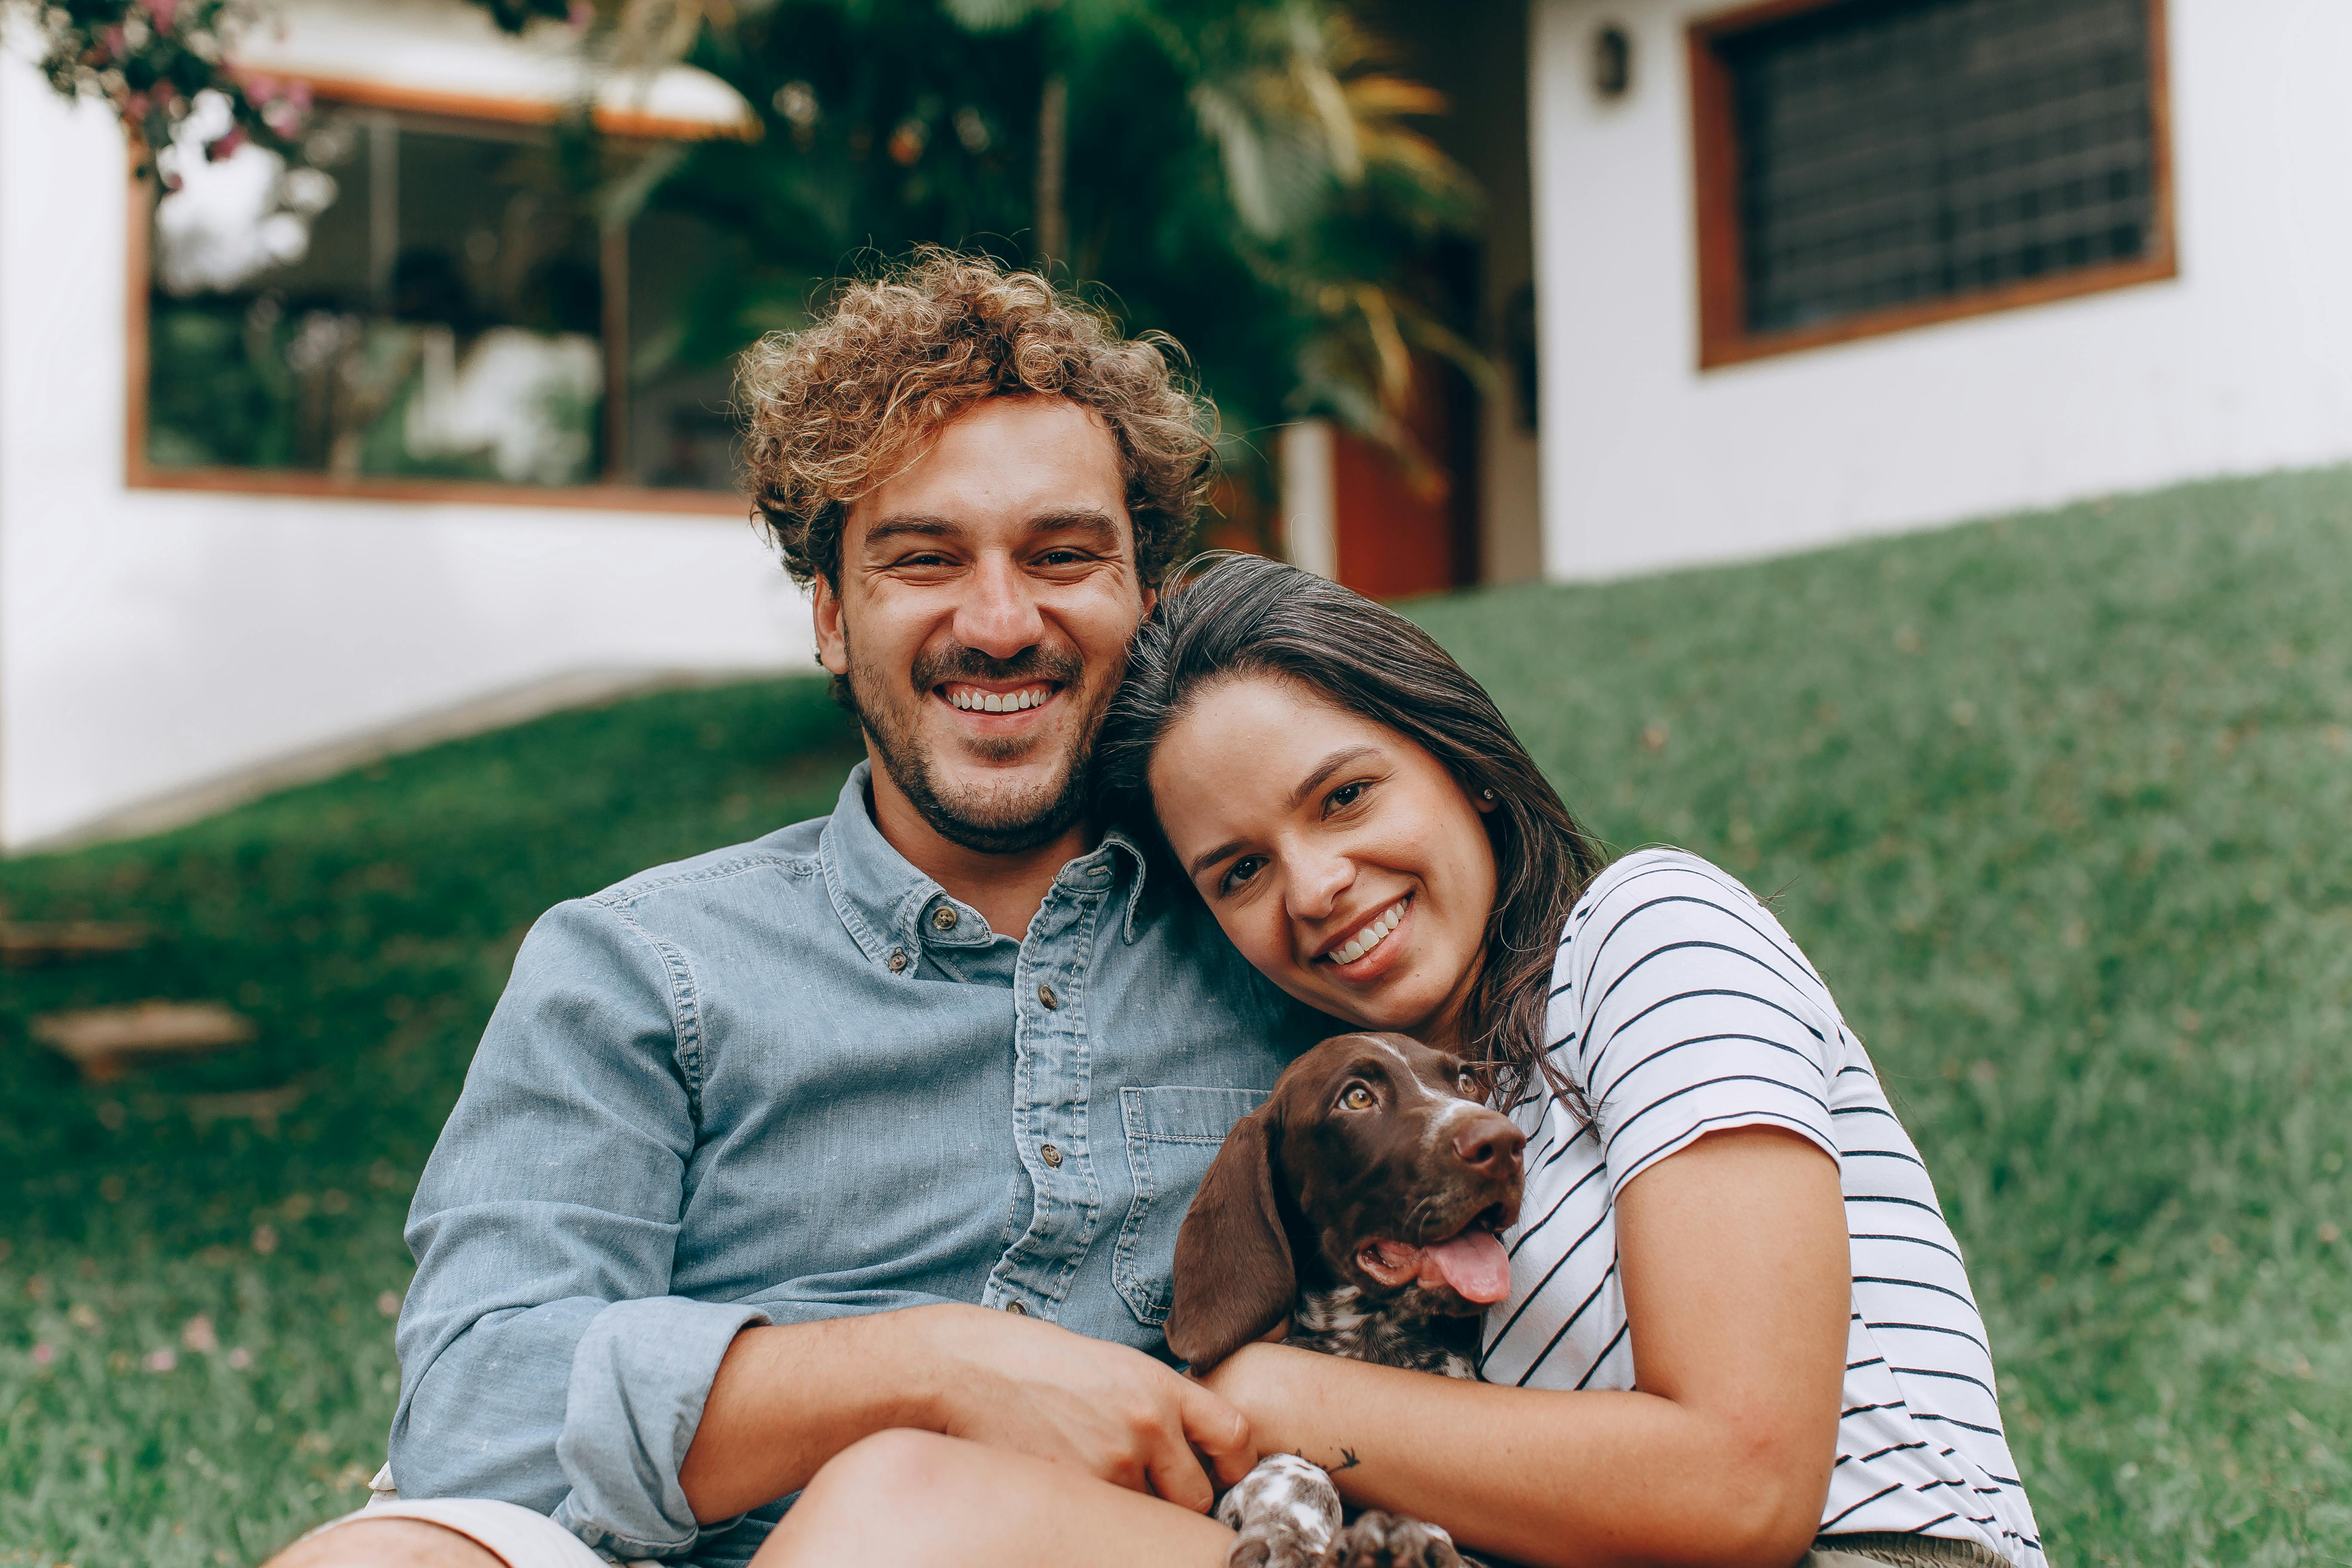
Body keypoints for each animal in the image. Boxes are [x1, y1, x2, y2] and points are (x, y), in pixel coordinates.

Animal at [1162, 1029, 1524, 1568]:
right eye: (1356, 1097)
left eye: (1464, 1081)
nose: (1504, 1143)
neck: (1373, 1336)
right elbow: (1295, 1468)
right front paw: (1291, 1525)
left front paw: (1417, 1539)